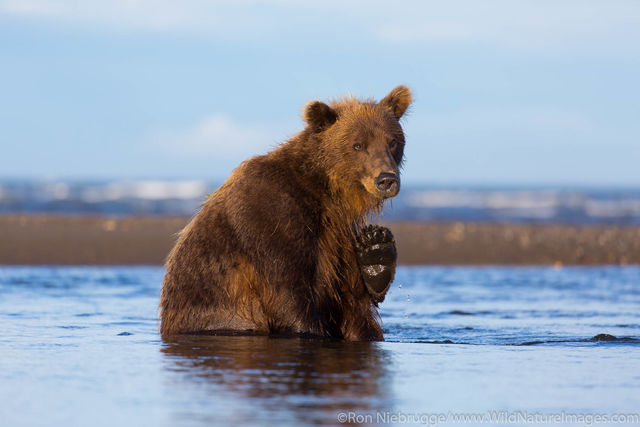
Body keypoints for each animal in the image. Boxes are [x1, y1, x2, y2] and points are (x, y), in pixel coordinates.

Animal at [158, 85, 412, 342]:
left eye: (393, 141)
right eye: (358, 145)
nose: (386, 179)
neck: (325, 188)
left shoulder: (337, 232)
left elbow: (349, 297)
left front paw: (375, 250)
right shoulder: (272, 215)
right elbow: (289, 292)